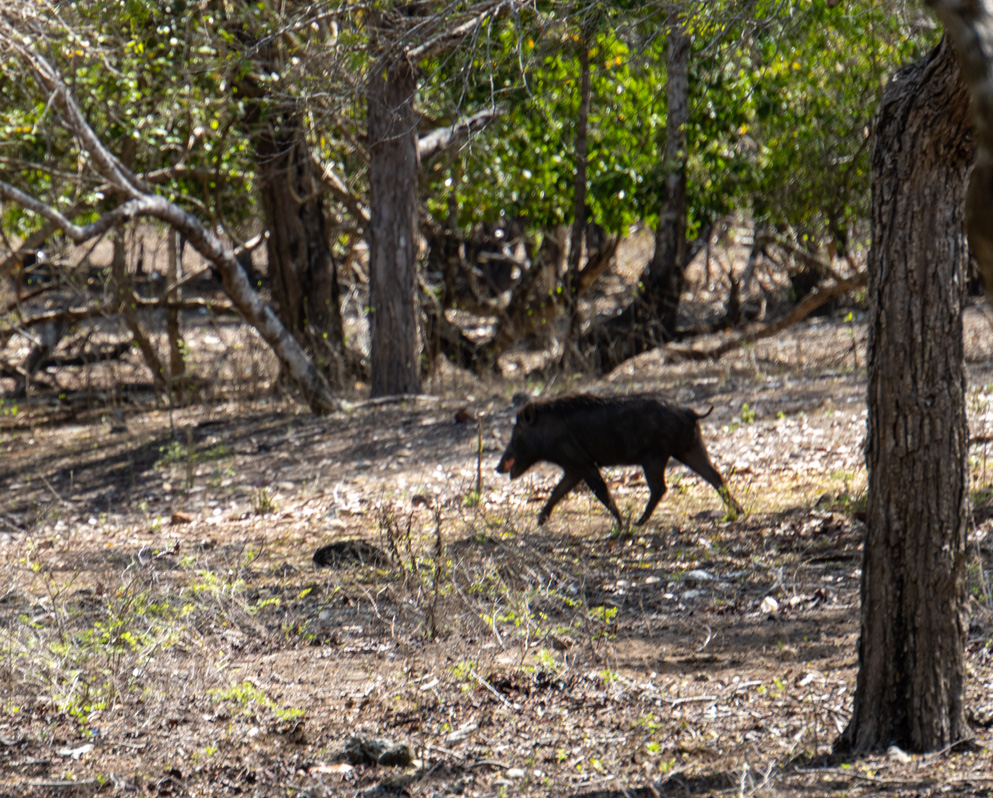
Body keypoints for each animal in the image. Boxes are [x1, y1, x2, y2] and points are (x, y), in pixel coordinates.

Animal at [496, 393, 743, 526]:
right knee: (715, 475)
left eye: (516, 433)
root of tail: (691, 412)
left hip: (654, 456)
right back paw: (739, 512)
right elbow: (558, 491)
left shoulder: (582, 463)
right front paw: (540, 521)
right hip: (690, 447)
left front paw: (622, 523)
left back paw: (638, 522)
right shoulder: (573, 467)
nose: (498, 467)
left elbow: (600, 491)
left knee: (660, 487)